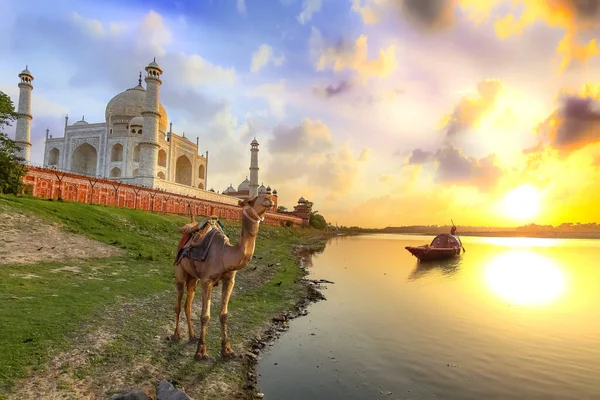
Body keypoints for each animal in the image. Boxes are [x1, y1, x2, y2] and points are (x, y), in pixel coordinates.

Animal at [171, 192, 274, 360]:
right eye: (251, 200)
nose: (268, 199)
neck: (225, 254)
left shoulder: (229, 280)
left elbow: (224, 314)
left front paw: (227, 350)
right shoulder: (207, 281)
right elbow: (205, 316)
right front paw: (201, 352)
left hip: (194, 278)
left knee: (188, 303)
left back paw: (192, 336)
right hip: (180, 270)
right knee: (178, 303)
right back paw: (176, 335)